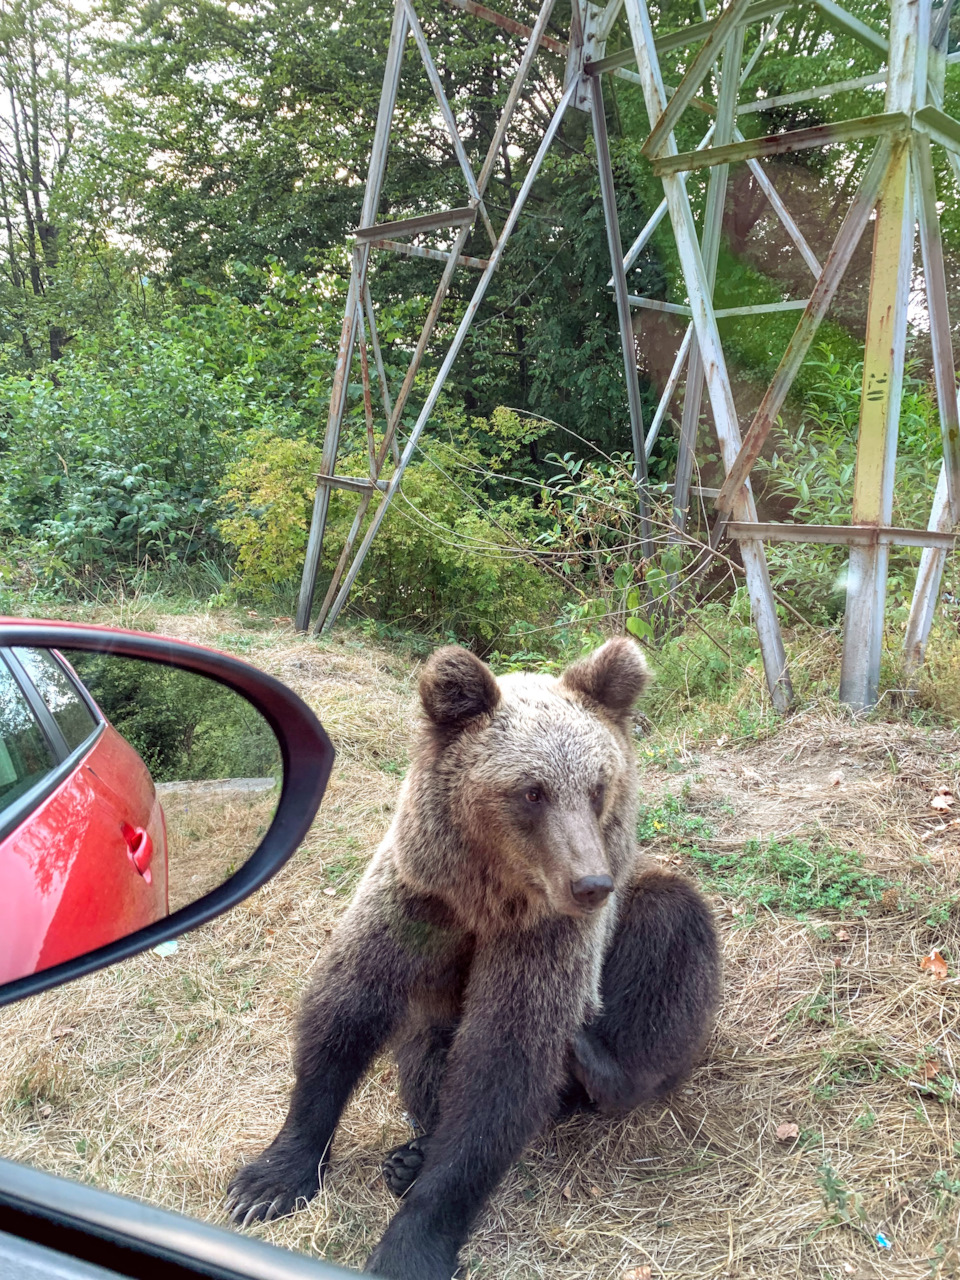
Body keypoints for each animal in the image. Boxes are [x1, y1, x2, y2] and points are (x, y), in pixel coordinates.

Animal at [227, 640, 721, 1280]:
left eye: (597, 786)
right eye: (532, 791)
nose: (590, 884)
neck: (487, 899)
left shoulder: (543, 937)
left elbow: (502, 1063)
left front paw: (410, 1246)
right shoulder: (417, 901)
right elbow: (347, 1009)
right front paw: (270, 1180)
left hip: (641, 923)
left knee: (669, 934)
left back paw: (600, 1065)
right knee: (426, 1050)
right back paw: (410, 1157)